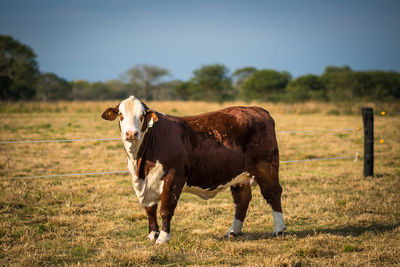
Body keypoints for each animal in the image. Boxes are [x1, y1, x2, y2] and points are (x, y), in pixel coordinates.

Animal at [101, 96, 286, 245]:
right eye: (121, 114)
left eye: (142, 116)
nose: (131, 133)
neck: (141, 163)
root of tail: (256, 109)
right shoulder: (144, 184)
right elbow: (150, 210)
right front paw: (152, 235)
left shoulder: (173, 178)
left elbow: (165, 209)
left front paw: (163, 238)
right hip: (239, 175)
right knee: (242, 199)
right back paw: (234, 231)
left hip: (266, 166)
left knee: (272, 193)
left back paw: (279, 229)